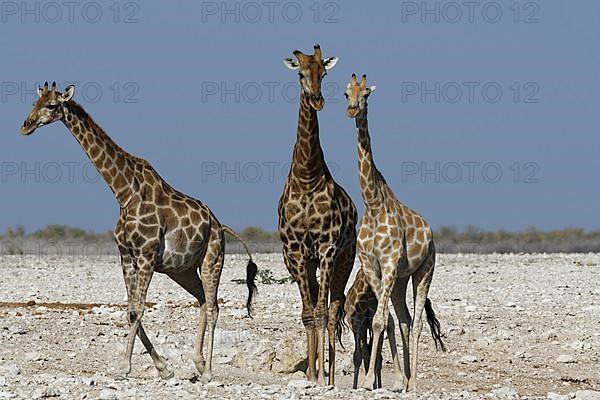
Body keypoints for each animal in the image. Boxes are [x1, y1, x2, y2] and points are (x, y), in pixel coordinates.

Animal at [18, 82, 258, 384]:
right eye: (34, 102)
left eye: (51, 105)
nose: (25, 126)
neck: (123, 193)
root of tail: (219, 225)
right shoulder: (126, 257)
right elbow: (130, 309)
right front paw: (163, 367)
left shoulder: (145, 256)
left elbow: (138, 310)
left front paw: (125, 367)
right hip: (182, 270)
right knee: (203, 301)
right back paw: (199, 363)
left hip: (212, 259)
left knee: (214, 306)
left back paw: (209, 372)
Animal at [342, 74, 446, 390]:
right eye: (345, 93)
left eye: (366, 93)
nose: (352, 108)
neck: (373, 203)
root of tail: (430, 232)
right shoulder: (371, 265)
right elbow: (384, 319)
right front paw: (384, 379)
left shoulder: (388, 264)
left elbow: (378, 320)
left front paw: (367, 381)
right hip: (401, 280)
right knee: (405, 319)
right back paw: (407, 381)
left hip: (424, 270)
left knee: (418, 322)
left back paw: (415, 383)